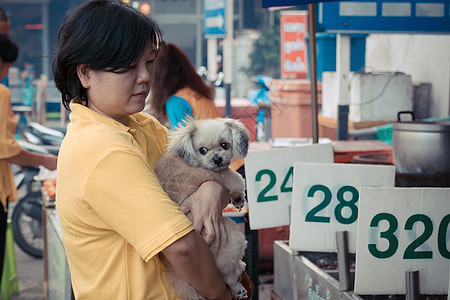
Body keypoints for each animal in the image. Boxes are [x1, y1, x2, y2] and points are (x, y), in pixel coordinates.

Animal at [156, 116, 251, 298]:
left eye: (224, 145)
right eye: (203, 150)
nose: (217, 159)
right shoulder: (220, 175)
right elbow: (236, 178)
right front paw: (238, 197)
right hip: (233, 238)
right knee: (228, 276)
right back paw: (238, 282)